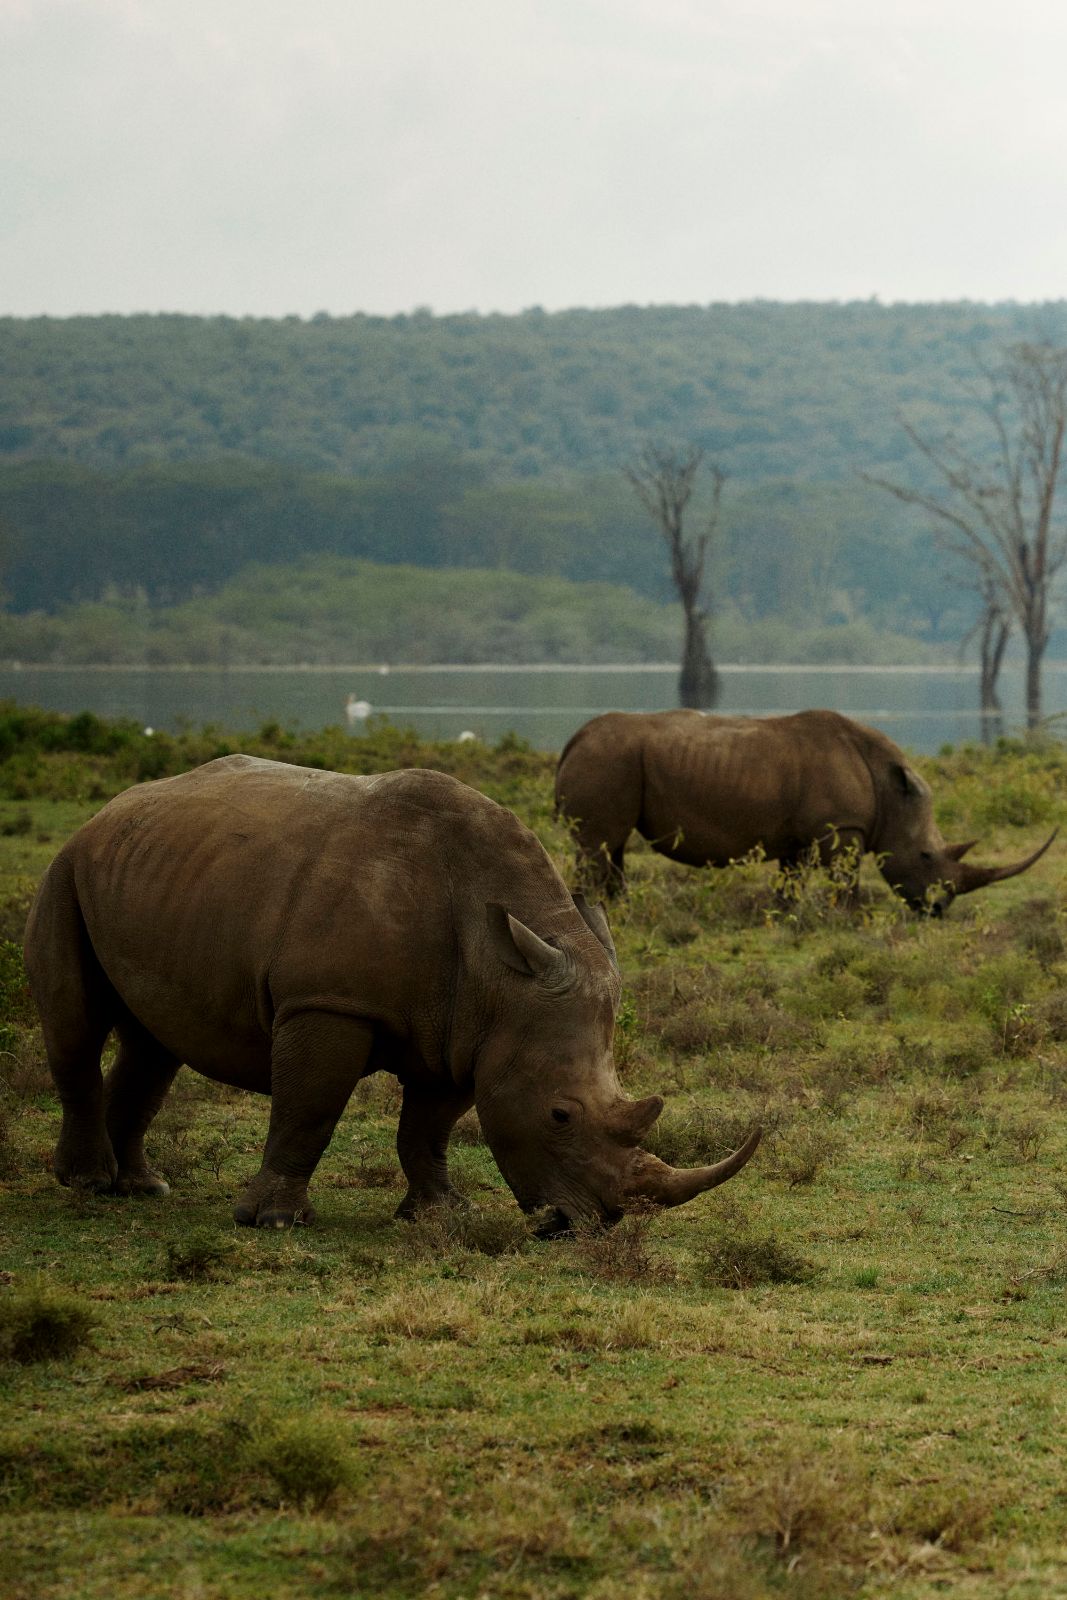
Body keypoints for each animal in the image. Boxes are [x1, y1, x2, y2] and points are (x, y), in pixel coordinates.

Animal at [24, 754, 758, 1235]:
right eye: (559, 1115)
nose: (594, 1224)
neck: (502, 972)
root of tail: (110, 808)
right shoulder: (329, 1002)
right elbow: (309, 1109)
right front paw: (275, 1222)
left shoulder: (469, 1032)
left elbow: (427, 1128)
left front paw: (440, 1214)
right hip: (66, 870)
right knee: (78, 1028)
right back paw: (89, 1185)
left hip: (153, 875)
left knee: (154, 1046)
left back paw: (143, 1189)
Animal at [555, 709, 1056, 913]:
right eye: (928, 857)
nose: (938, 909)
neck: (891, 794)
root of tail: (572, 740)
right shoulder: (841, 828)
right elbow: (845, 876)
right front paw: (847, 918)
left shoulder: (799, 836)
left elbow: (791, 879)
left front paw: (785, 916)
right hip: (607, 760)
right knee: (600, 844)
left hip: (611, 760)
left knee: (613, 846)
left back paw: (618, 909)